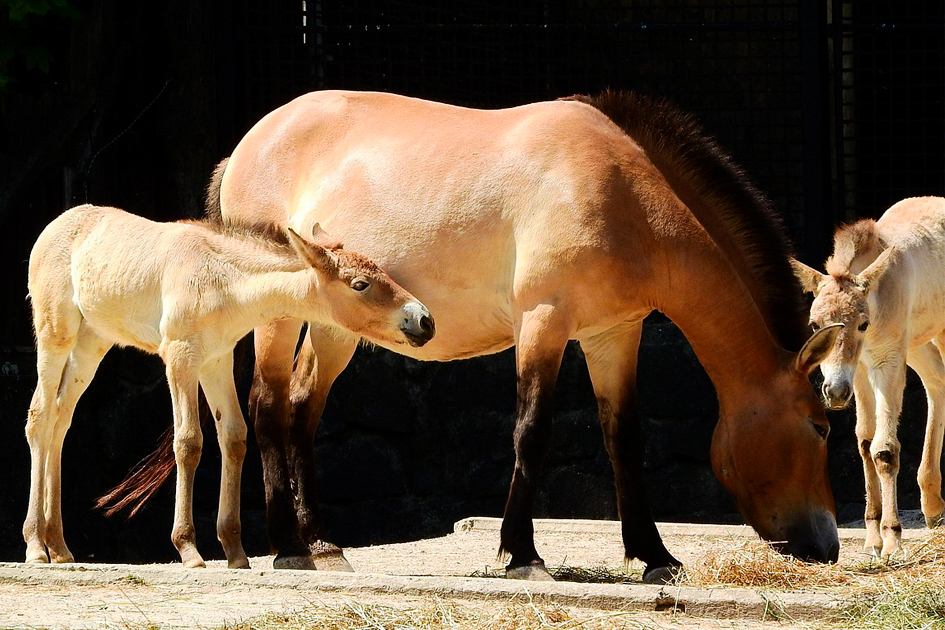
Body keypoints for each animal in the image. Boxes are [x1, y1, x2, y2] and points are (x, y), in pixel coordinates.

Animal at [23, 203, 434, 569]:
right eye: (360, 284)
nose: (424, 320)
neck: (222, 280)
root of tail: (55, 225)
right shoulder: (180, 356)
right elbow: (189, 442)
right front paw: (188, 549)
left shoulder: (216, 359)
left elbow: (234, 438)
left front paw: (235, 552)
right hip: (55, 334)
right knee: (40, 417)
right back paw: (35, 546)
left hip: (92, 344)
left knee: (61, 419)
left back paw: (59, 546)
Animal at [108, 90, 842, 583]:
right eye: (818, 426)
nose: (827, 544)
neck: (621, 192)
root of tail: (249, 143)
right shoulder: (545, 323)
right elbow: (530, 432)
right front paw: (520, 553)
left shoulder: (613, 334)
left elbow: (623, 440)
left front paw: (654, 556)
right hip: (279, 317)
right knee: (265, 407)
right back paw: (289, 547)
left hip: (335, 328)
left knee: (299, 411)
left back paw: (322, 543)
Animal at [792, 196, 945, 558]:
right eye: (815, 325)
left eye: (862, 323)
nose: (833, 392)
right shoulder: (860, 370)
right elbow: (864, 442)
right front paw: (873, 537)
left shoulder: (887, 363)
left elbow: (884, 449)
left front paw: (892, 539)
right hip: (918, 343)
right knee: (937, 383)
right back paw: (933, 506)